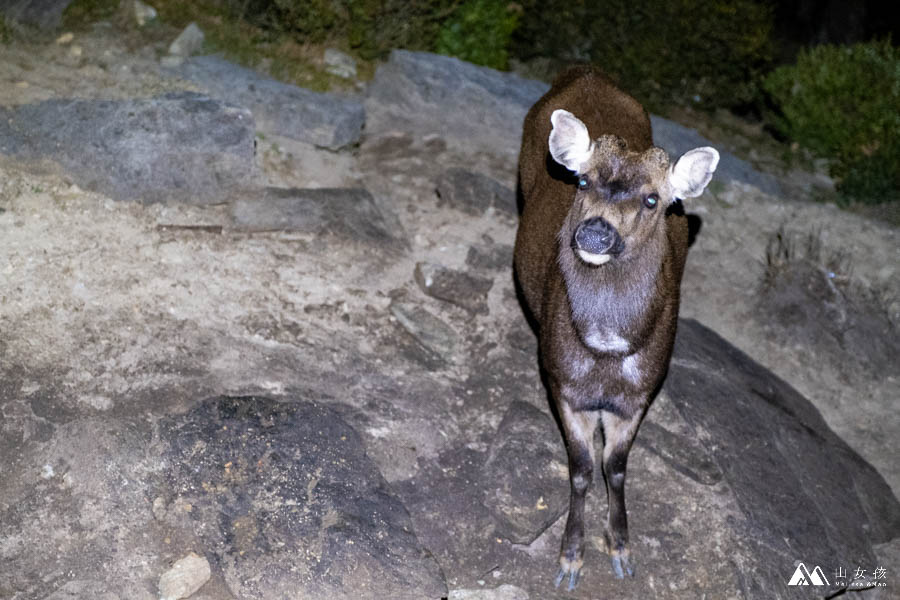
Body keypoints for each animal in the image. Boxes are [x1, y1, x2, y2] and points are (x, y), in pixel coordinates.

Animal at [512, 68, 716, 592]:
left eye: (652, 198)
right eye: (583, 180)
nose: (595, 232)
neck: (605, 351)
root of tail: (585, 72)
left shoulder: (641, 391)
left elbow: (617, 468)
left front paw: (621, 549)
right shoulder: (562, 382)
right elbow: (583, 469)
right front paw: (570, 560)